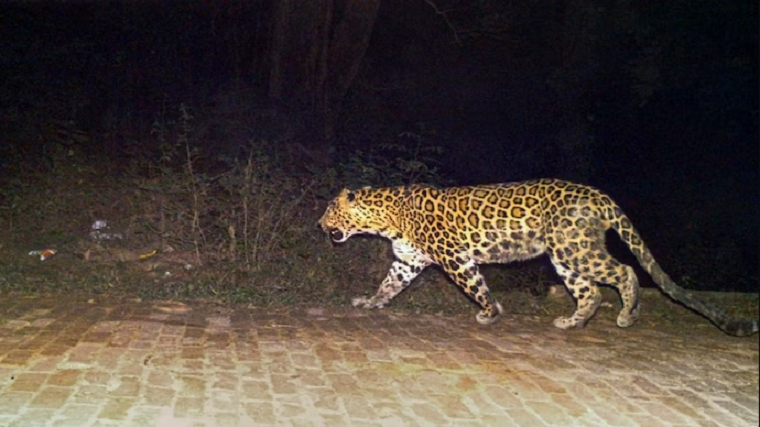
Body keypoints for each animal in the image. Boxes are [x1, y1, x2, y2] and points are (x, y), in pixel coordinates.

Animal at [318, 178, 758, 337]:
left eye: (330, 211)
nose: (320, 224)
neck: (385, 218)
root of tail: (599, 195)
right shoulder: (408, 262)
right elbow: (387, 285)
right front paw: (369, 302)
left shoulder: (455, 259)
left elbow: (475, 286)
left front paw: (490, 313)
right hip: (565, 256)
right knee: (591, 292)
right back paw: (572, 322)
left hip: (575, 248)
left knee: (625, 272)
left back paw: (627, 315)